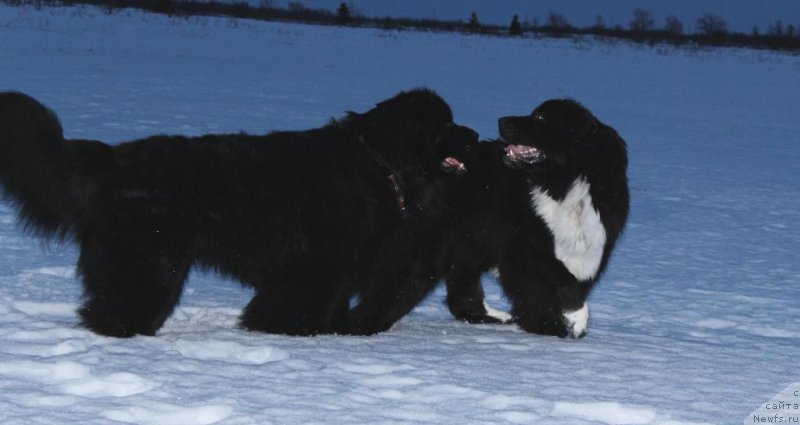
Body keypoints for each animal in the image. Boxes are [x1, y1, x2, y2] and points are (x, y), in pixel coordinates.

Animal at [0, 89, 476, 338]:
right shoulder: (314, 267)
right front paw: (288, 331)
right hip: (153, 262)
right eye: (446, 125)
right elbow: (295, 308)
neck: (382, 164)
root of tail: (114, 160)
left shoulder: (337, 272)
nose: (474, 135)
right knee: (118, 307)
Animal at [348, 98, 624, 338]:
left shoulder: (590, 249)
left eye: (541, 117)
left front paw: (548, 327)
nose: (501, 120)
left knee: (460, 297)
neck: (563, 185)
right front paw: (574, 322)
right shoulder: (524, 249)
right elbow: (566, 285)